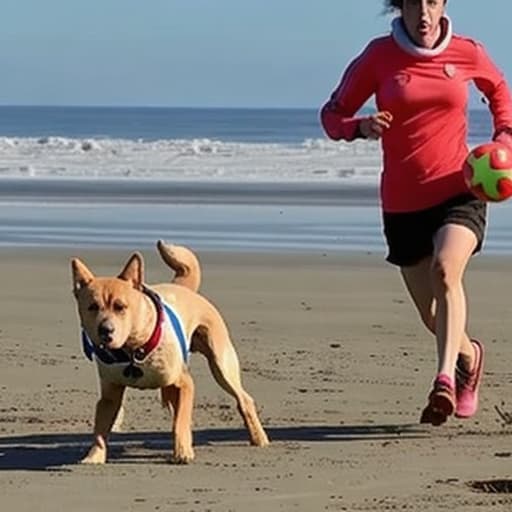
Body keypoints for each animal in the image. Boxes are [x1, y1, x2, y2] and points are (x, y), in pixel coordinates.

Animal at [73, 241, 272, 464]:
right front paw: (95, 456)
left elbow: (180, 423)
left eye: (120, 307)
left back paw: (258, 437)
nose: (105, 330)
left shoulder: (185, 383)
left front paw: (183, 451)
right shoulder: (110, 395)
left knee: (243, 399)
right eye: (92, 307)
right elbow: (100, 430)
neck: (133, 352)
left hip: (221, 364)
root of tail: (182, 287)